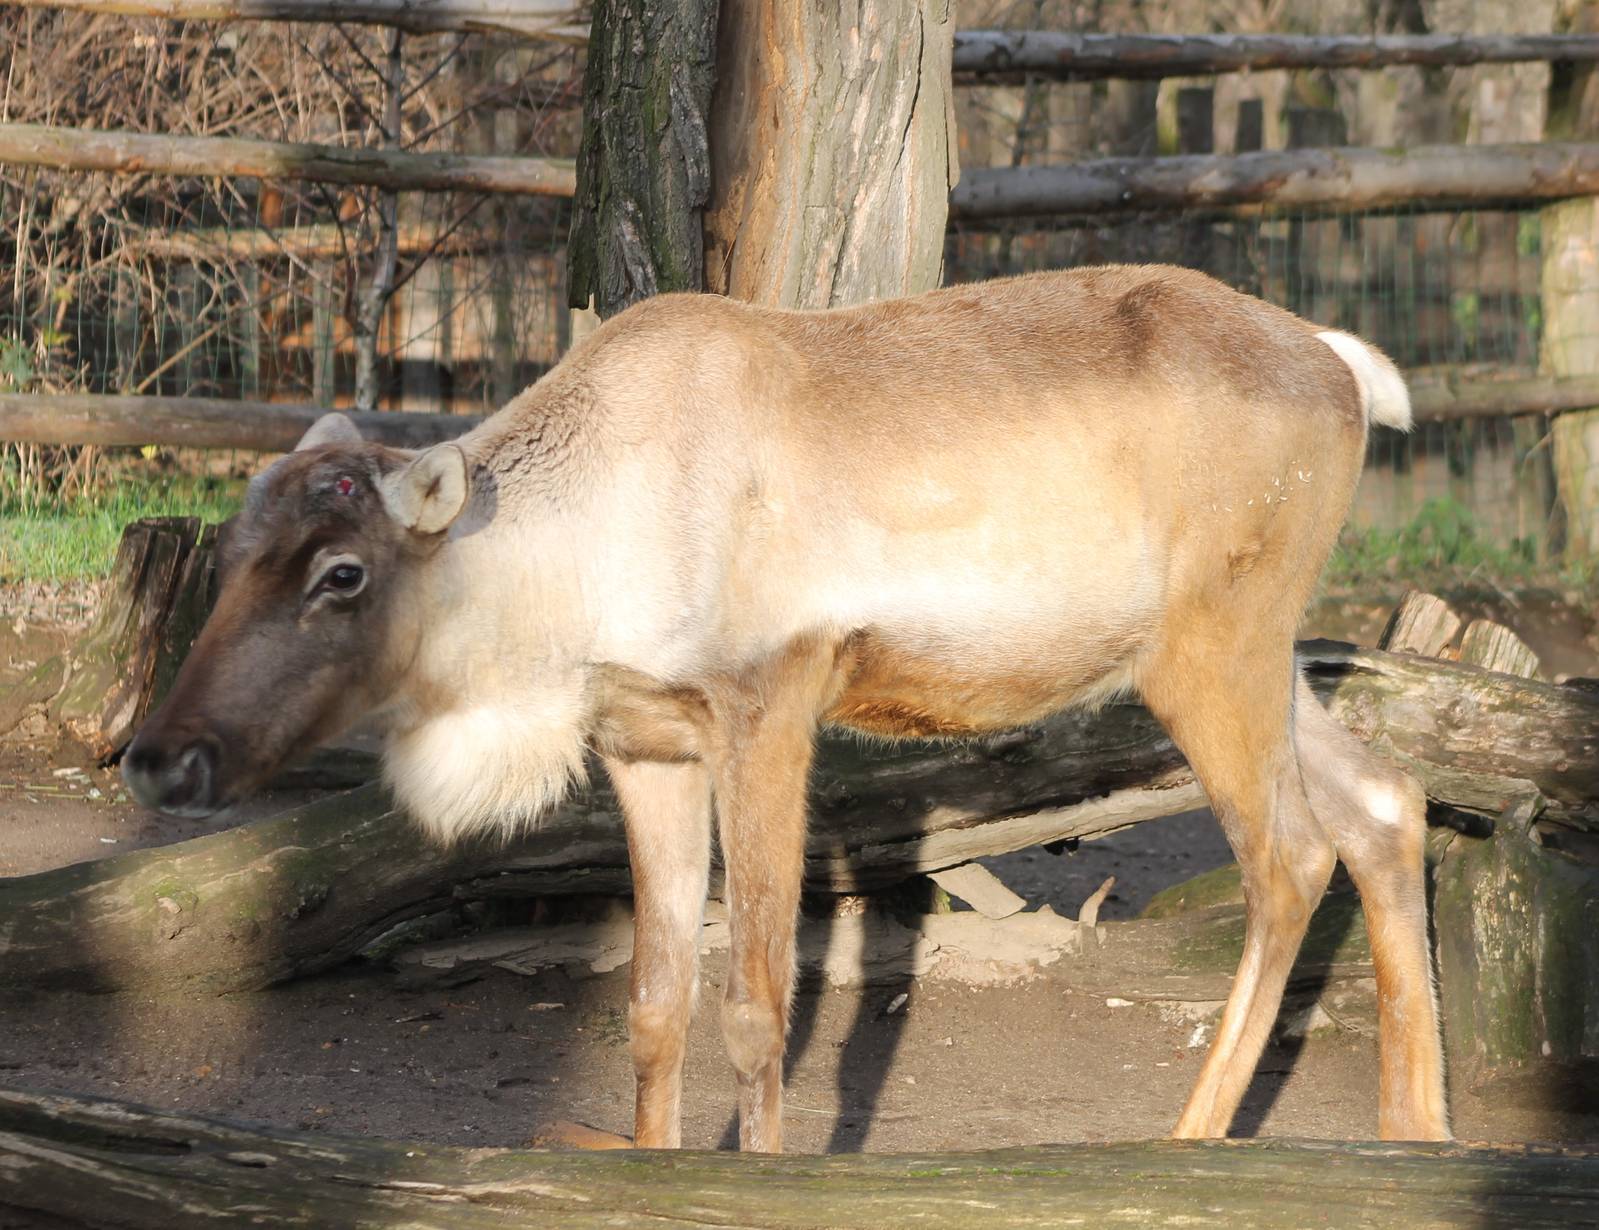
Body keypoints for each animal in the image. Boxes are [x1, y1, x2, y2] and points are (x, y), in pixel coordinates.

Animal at [123, 264, 1450, 1151]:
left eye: (342, 574)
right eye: (230, 552)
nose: (159, 758)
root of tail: (1345, 364)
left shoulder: (768, 707)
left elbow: (758, 1007)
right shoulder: (645, 744)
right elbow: (654, 1005)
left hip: (1207, 650)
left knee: (1290, 856)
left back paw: (1190, 1141)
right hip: (1255, 652)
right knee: (1388, 802)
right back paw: (1414, 1135)